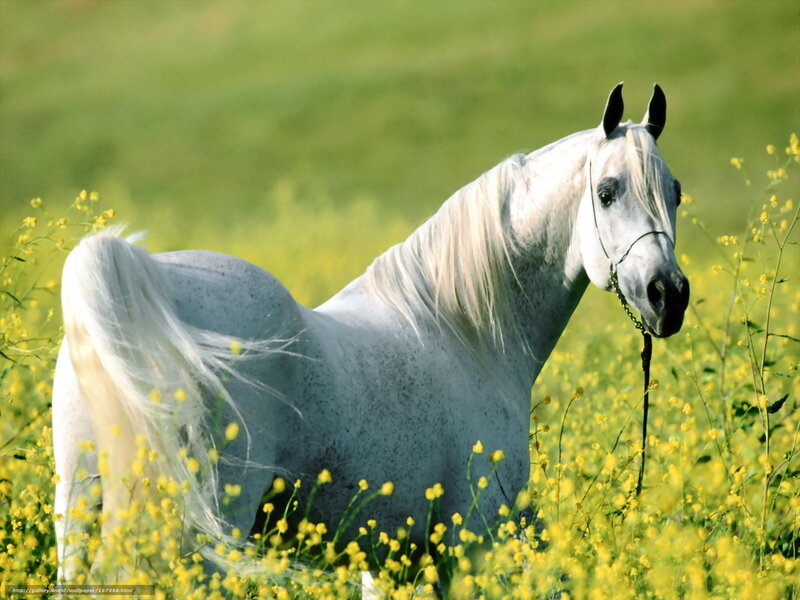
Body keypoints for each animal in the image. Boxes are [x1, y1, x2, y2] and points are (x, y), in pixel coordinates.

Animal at [52, 83, 689, 584]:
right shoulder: (472, 546)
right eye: (606, 191)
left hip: (80, 514)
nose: (670, 295)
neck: (465, 334)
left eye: (676, 193)